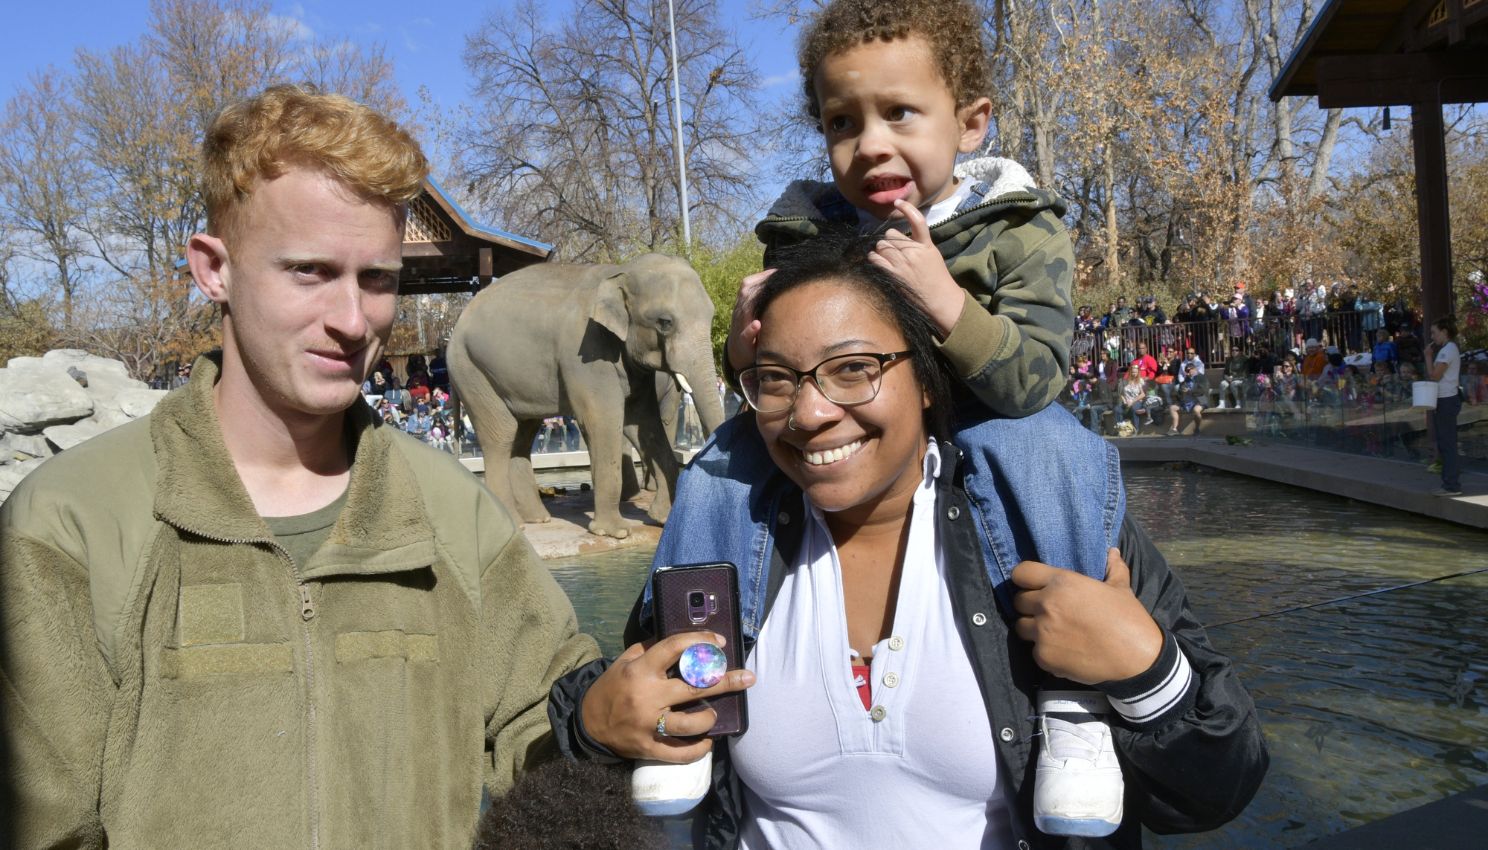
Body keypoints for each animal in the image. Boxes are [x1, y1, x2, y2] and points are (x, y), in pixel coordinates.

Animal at [446, 253, 726, 538]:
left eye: (712, 315)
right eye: (665, 322)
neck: (621, 272)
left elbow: (644, 423)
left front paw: (662, 518)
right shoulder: (586, 354)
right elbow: (603, 420)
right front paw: (616, 532)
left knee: (522, 434)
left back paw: (538, 519)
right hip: (471, 370)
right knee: (501, 435)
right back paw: (516, 525)